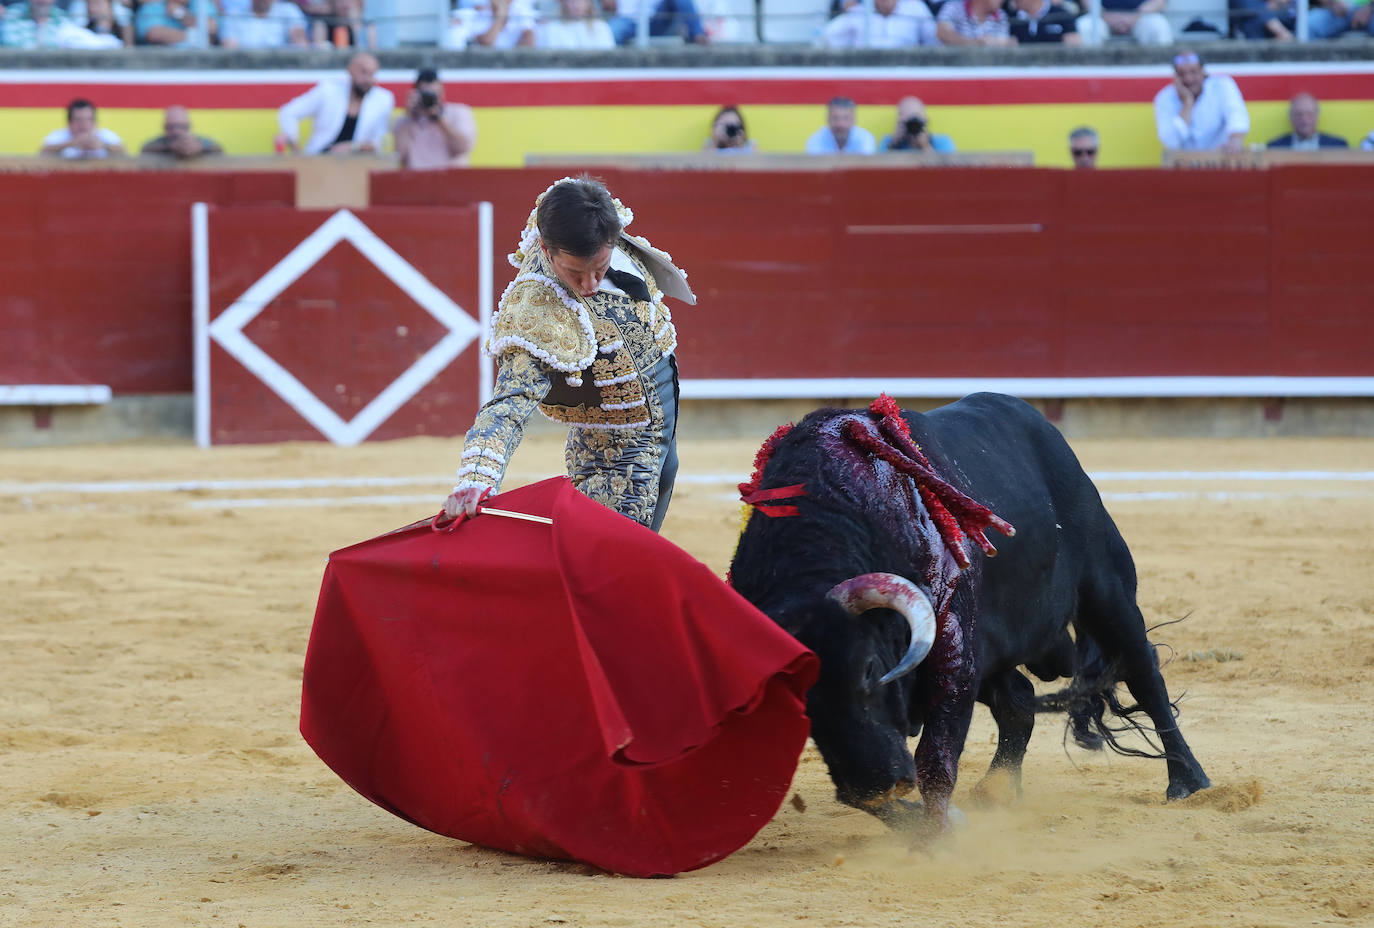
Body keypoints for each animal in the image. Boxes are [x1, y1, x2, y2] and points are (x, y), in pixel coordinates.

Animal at [725, 393, 1209, 835]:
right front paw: (921, 826)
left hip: (1105, 591)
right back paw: (997, 792)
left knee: (1143, 670)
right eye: (797, 701)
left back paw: (1188, 781)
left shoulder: (954, 654)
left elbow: (935, 758)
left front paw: (938, 838)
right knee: (1019, 701)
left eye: (868, 670)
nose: (876, 784)